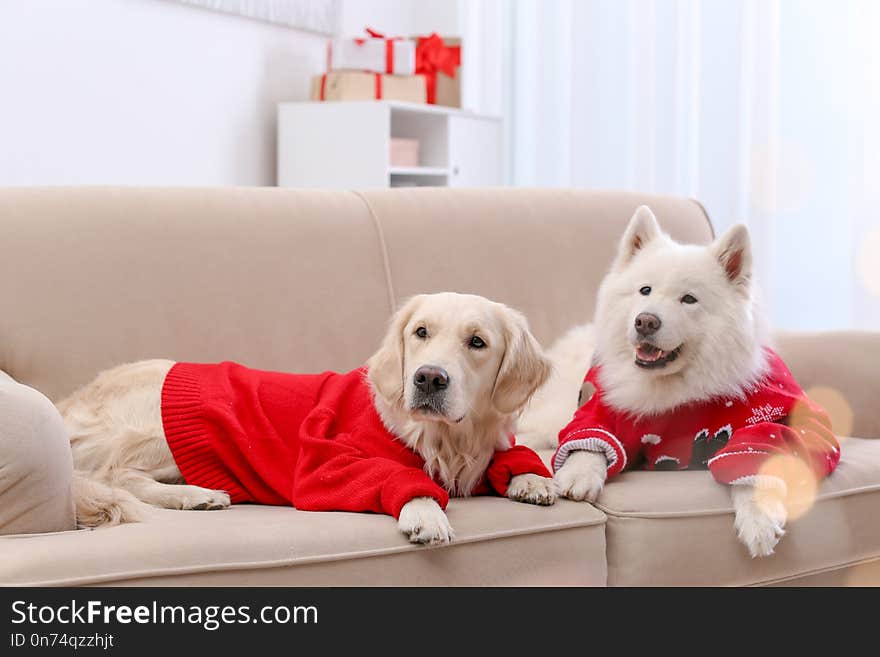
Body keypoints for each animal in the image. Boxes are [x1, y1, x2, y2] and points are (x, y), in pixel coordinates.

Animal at [62, 292, 552, 544]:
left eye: (477, 342)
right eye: (421, 332)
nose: (429, 378)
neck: (445, 438)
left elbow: (509, 458)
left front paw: (531, 478)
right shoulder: (323, 465)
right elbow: (397, 479)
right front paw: (426, 513)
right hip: (163, 426)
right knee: (116, 474)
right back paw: (196, 495)